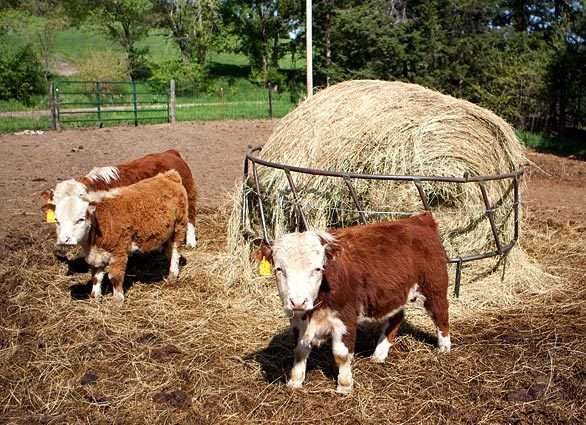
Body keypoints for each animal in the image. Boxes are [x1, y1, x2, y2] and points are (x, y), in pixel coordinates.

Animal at [40, 149, 198, 248]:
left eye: (80, 216)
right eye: (56, 218)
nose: (64, 240)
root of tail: (170, 153)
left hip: (189, 197)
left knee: (190, 218)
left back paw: (191, 242)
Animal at [78, 171, 186, 304]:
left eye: (81, 218)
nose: (65, 239)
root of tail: (169, 175)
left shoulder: (119, 251)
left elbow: (115, 276)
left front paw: (117, 301)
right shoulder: (97, 255)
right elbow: (96, 277)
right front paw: (95, 297)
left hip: (179, 226)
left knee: (176, 251)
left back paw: (172, 275)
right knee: (169, 250)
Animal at [262, 212, 452, 394]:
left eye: (317, 269)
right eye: (279, 269)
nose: (298, 301)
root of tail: (419, 219)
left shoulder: (345, 319)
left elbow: (341, 354)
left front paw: (344, 385)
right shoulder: (297, 320)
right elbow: (300, 351)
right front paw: (295, 382)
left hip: (434, 288)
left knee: (441, 315)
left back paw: (444, 347)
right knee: (395, 319)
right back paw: (379, 354)